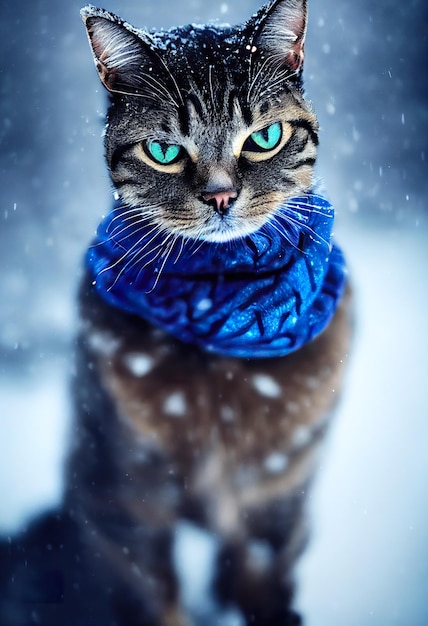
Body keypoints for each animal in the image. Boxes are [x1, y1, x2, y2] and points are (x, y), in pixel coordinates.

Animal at [0, 1, 352, 624]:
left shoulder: (280, 494)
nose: (220, 197)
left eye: (265, 138)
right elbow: (156, 598)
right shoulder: (127, 498)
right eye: (163, 152)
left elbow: (267, 576)